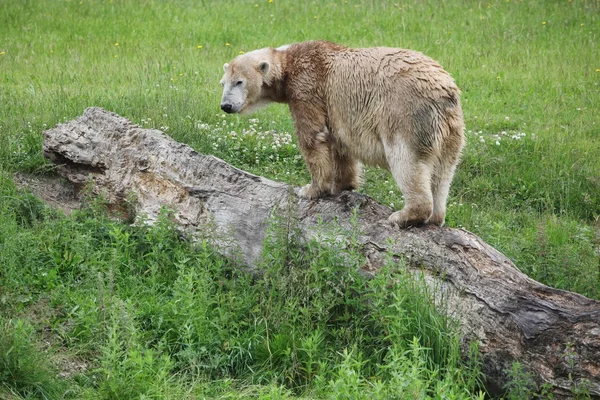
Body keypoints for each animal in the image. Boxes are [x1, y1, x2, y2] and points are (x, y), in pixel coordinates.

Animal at [219, 41, 464, 228]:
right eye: (223, 83)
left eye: (239, 82)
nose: (225, 106)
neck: (288, 62)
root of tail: (445, 93)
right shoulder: (335, 111)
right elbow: (339, 145)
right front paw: (342, 185)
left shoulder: (307, 86)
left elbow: (313, 136)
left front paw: (310, 189)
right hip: (452, 130)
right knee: (443, 172)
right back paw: (435, 217)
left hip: (405, 113)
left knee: (406, 160)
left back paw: (403, 216)